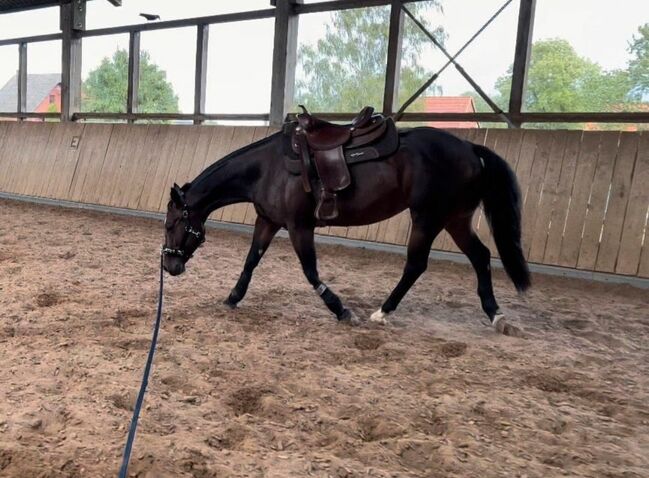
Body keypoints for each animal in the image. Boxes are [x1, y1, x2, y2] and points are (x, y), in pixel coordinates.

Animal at [161, 123, 528, 332]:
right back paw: (495, 315)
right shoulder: (268, 221)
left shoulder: (299, 226)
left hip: (428, 218)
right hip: (455, 219)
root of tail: (470, 149)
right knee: (481, 256)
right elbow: (251, 261)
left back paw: (382, 312)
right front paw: (233, 297)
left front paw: (341, 310)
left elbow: (310, 271)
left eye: (171, 223)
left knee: (416, 264)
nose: (169, 265)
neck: (267, 169)